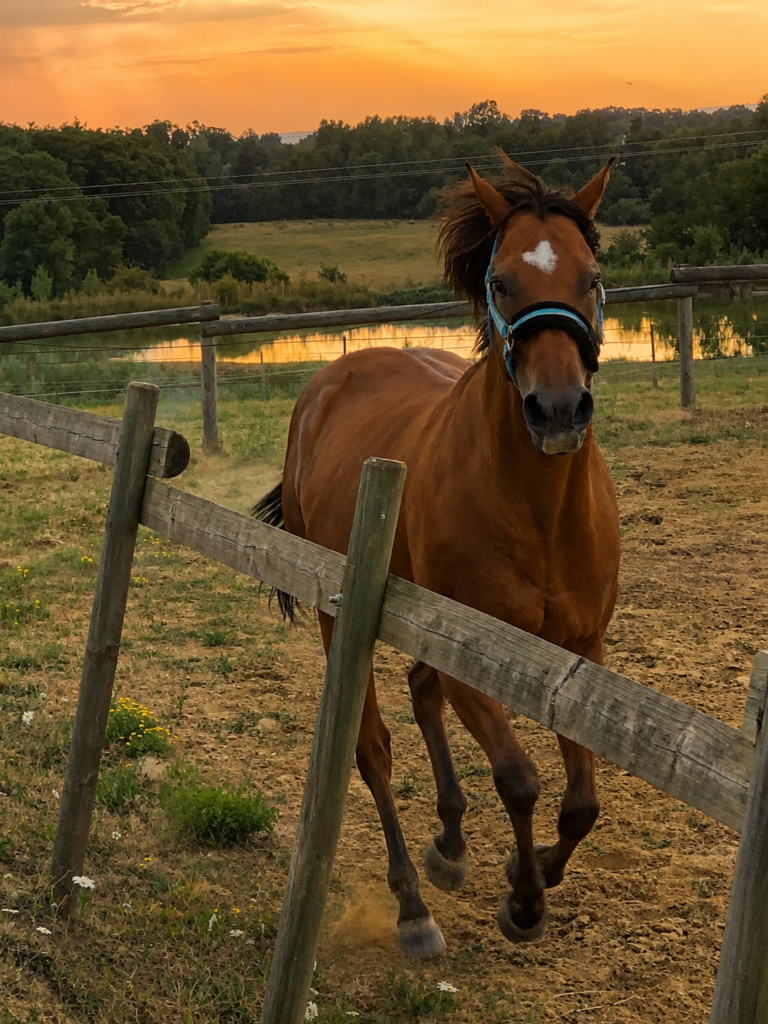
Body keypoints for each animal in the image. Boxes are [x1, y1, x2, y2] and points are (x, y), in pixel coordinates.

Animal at [253, 154, 621, 958]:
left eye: (591, 277)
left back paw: (449, 845)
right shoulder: (471, 661)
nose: (557, 411)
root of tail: (331, 379)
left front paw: (533, 869)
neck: (539, 510)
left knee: (420, 693)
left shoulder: (582, 654)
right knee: (372, 749)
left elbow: (582, 802)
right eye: (502, 281)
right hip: (343, 620)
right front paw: (524, 902)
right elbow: (518, 778)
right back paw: (414, 906)